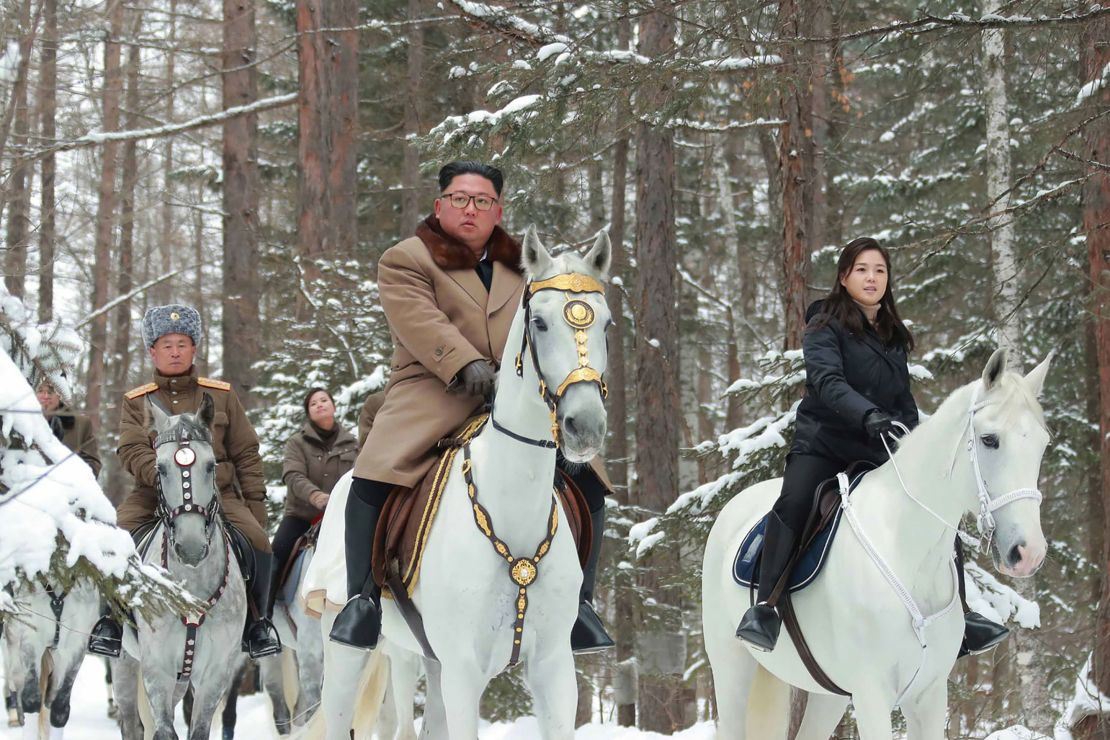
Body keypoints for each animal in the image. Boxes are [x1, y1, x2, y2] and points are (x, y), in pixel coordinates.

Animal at [113, 399, 248, 740]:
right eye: (160, 468)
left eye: (211, 465)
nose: (190, 546)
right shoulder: (156, 669)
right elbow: (164, 731)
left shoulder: (215, 674)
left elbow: (197, 730)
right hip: (125, 663)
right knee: (130, 724)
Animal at [701, 348, 1047, 740]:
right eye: (990, 439)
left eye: (1042, 445)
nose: (1029, 552)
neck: (906, 552)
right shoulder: (872, 695)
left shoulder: (928, 695)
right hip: (732, 671)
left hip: (829, 695)